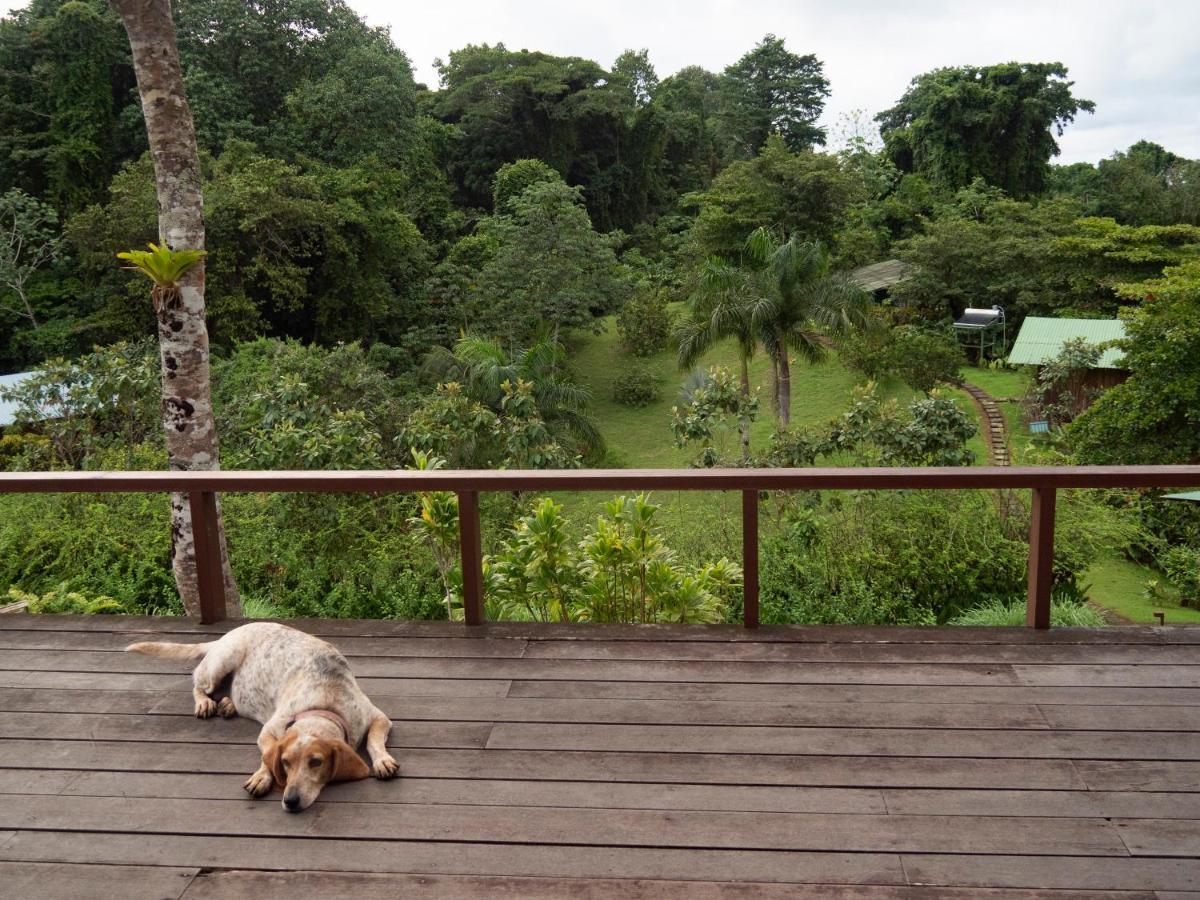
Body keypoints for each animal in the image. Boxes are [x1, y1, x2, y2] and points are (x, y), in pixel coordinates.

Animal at [126, 624, 398, 816]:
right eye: (286, 763)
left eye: (316, 762)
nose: (290, 800)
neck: (323, 704)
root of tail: (225, 635)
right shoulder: (269, 731)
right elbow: (267, 754)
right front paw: (261, 776)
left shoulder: (378, 717)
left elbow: (374, 740)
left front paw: (382, 760)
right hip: (222, 661)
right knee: (197, 684)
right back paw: (205, 703)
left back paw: (227, 705)